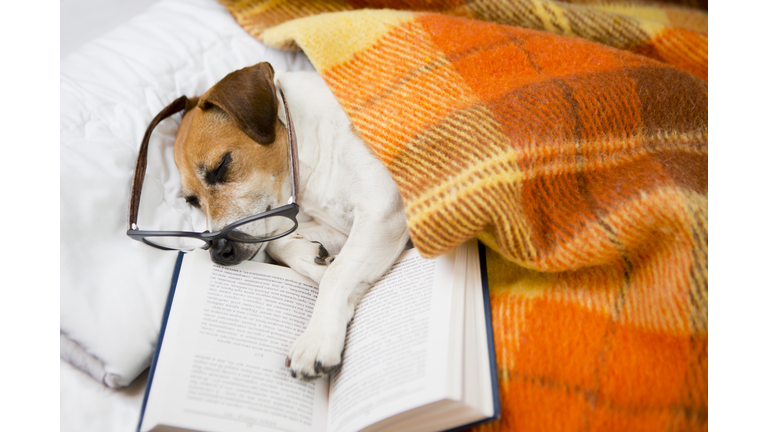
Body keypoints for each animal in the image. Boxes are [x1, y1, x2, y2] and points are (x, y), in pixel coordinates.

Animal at [172, 62, 412, 380]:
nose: (218, 251)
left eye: (221, 166)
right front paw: (315, 259)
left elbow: (338, 275)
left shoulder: (384, 208)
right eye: (192, 201)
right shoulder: (341, 225)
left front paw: (317, 339)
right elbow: (279, 243)